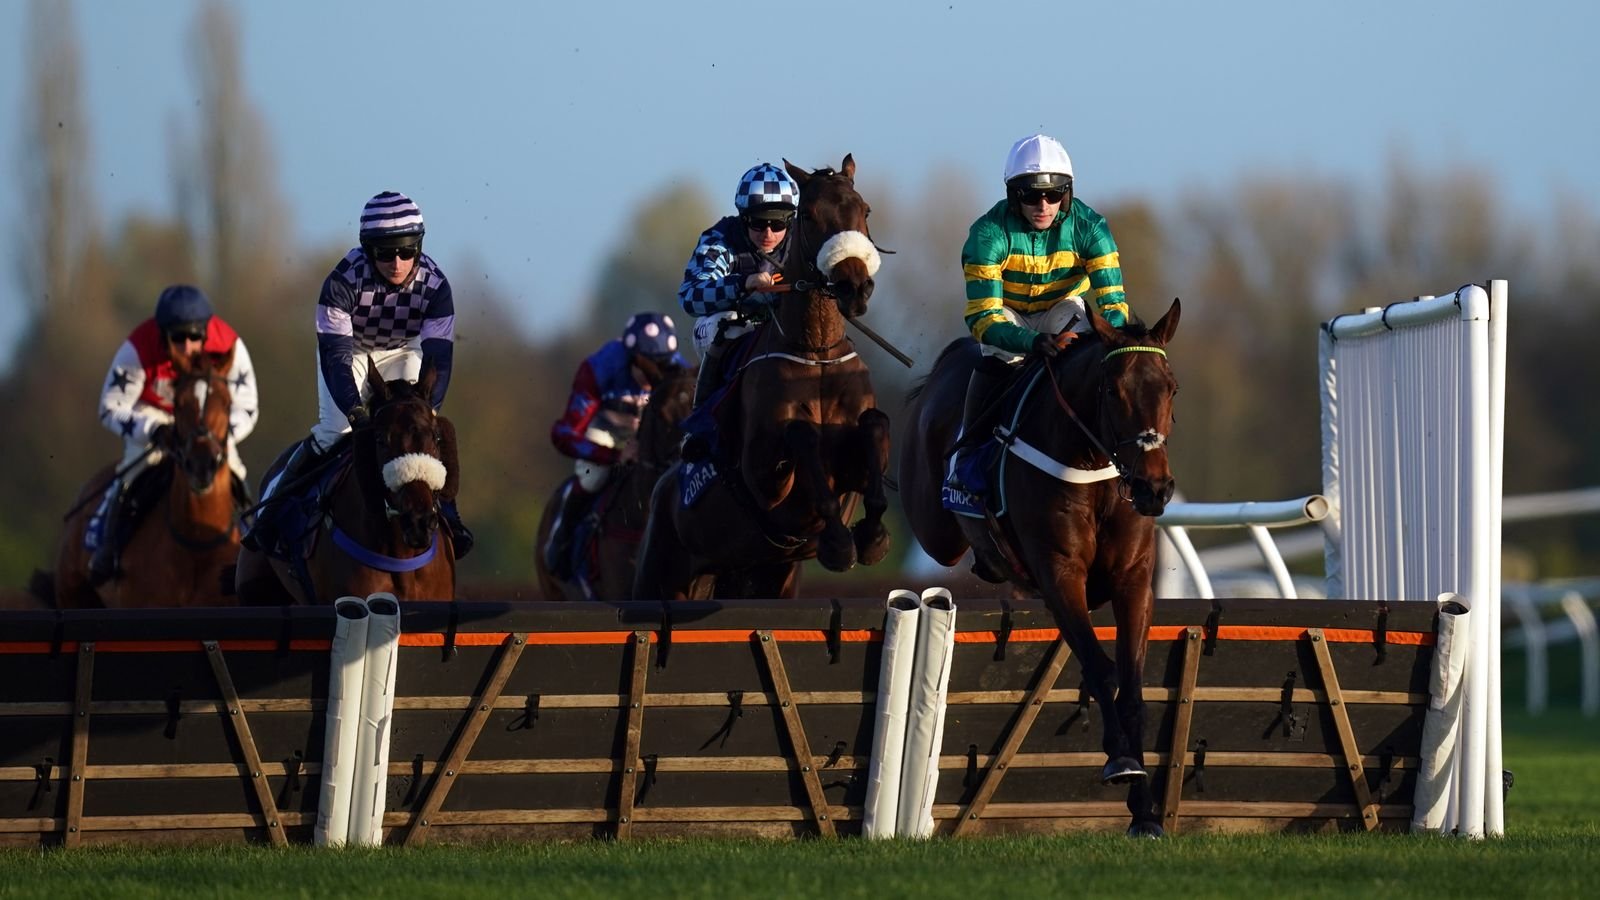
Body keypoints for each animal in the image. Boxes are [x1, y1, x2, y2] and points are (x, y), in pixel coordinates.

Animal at [630, 156, 896, 598]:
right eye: (809, 215)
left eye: (865, 210)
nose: (854, 286)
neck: (814, 353)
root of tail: (662, 489)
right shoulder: (763, 480)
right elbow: (800, 434)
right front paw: (839, 543)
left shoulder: (852, 466)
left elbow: (874, 426)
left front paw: (872, 536)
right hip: (662, 575)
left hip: (766, 575)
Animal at [908, 297, 1184, 832]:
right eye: (1113, 390)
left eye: (1171, 387)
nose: (1154, 488)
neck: (1094, 467)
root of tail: (948, 359)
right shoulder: (1060, 574)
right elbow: (1100, 669)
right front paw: (1121, 761)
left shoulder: (1133, 578)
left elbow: (1131, 683)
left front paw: (1144, 813)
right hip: (934, 525)